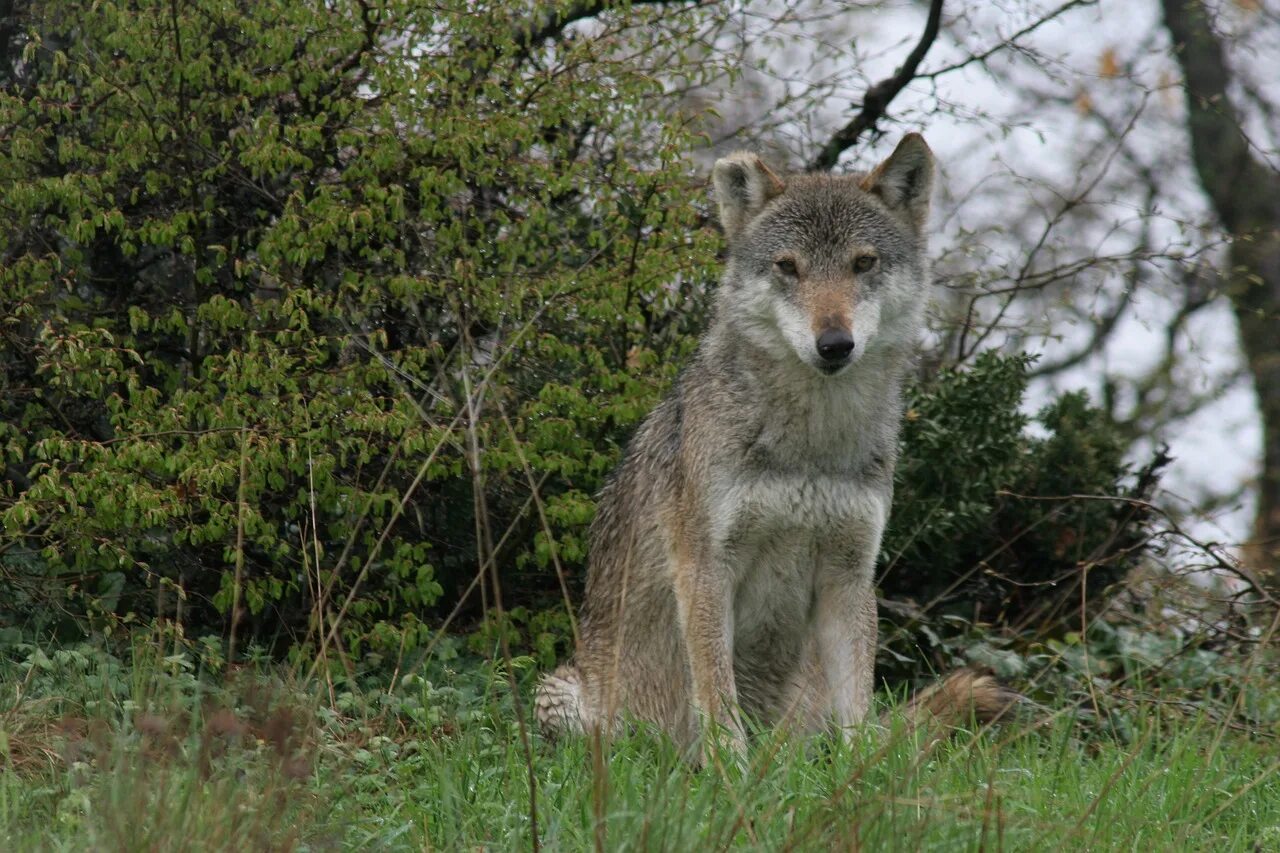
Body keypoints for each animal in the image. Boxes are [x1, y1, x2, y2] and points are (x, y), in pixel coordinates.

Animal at [535, 134, 1013, 763]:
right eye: (788, 267)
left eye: (863, 263)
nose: (834, 343)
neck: (808, 445)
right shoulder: (705, 569)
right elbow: (717, 697)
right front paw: (729, 773)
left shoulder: (850, 575)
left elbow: (859, 708)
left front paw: (861, 777)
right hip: (561, 699)